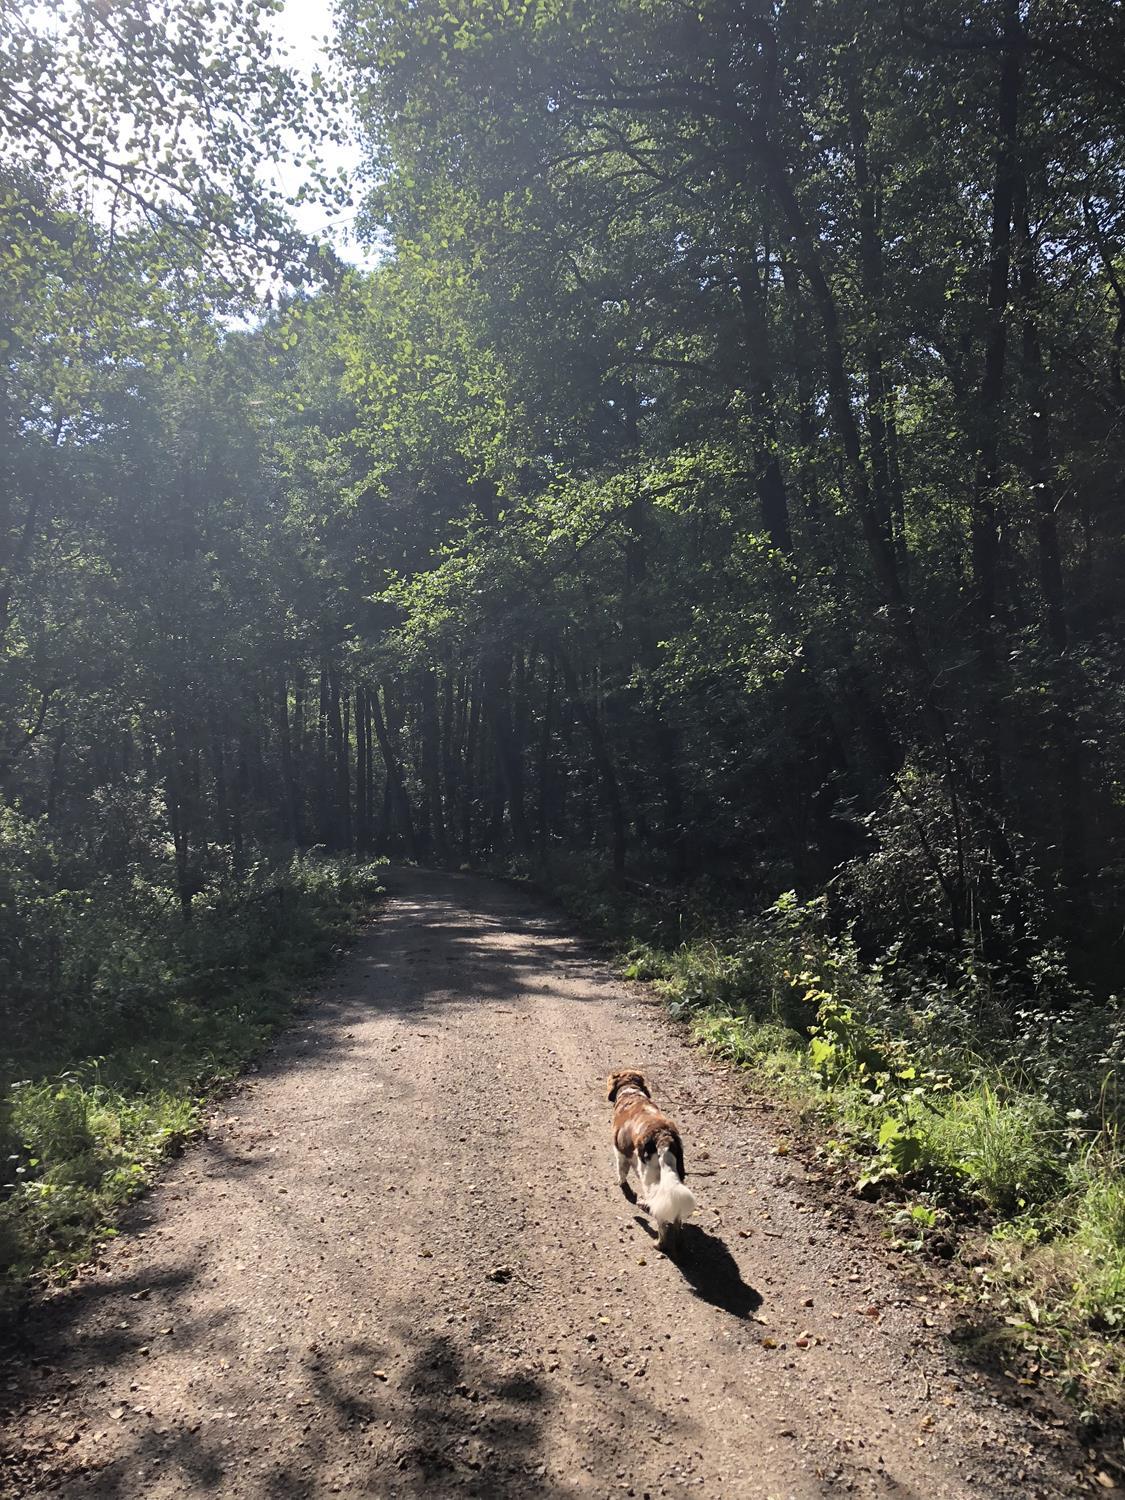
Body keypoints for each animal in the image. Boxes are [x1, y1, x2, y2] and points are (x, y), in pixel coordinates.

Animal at [609, 1074, 696, 1248]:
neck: (631, 1093)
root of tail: (663, 1137)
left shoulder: (620, 1153)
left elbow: (622, 1174)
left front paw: (625, 1189)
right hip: (677, 1175)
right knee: (676, 1218)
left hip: (648, 1178)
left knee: (660, 1218)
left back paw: (659, 1243)